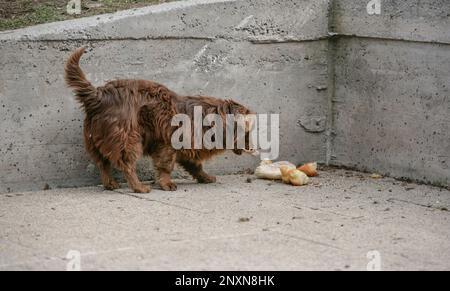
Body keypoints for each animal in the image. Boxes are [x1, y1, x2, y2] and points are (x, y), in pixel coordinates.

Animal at [64, 47, 253, 194]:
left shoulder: (187, 145)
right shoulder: (167, 143)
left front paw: (204, 177)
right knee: (126, 164)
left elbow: (195, 165)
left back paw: (110, 184)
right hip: (129, 138)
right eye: (248, 131)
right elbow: (165, 166)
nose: (253, 147)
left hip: (96, 139)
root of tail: (99, 95)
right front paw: (166, 183)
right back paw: (139, 187)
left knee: (103, 163)